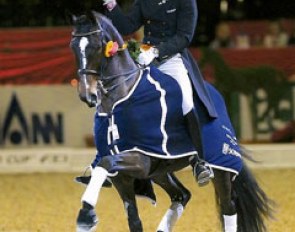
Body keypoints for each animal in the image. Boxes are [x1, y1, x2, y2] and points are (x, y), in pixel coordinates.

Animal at [70, 11, 274, 232]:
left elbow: (106, 162)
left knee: (228, 207)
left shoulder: (141, 159)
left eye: (96, 46)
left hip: (221, 168)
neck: (118, 102)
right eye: (73, 47)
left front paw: (85, 214)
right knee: (182, 195)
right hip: (160, 171)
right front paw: (87, 213)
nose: (87, 95)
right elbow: (134, 220)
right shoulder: (123, 178)